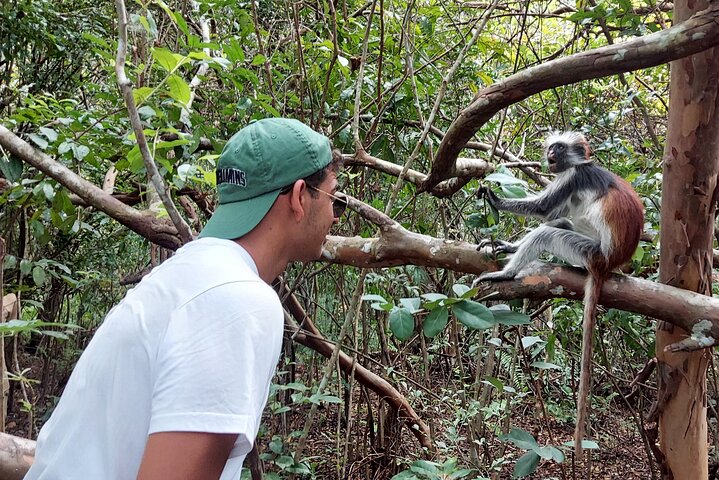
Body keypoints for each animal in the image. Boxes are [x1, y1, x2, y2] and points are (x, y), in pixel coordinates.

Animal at [473, 131, 644, 456]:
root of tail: (607, 263)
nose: (551, 153)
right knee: (560, 221)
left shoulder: (572, 178)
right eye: (551, 147)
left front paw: (494, 198)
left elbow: (542, 209)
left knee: (549, 231)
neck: (582, 164)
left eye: (560, 147)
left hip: (588, 251)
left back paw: (507, 274)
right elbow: (552, 213)